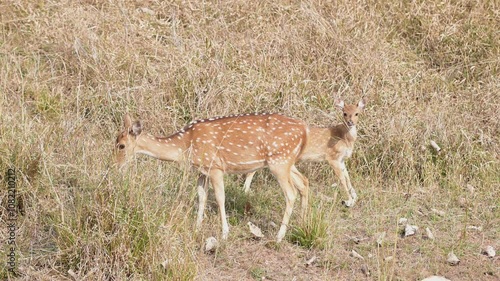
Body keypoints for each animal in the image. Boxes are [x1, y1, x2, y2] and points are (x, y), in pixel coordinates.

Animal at [115, 111, 308, 241]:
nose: (116, 166)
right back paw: (301, 225)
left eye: (121, 145)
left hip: (279, 162)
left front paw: (224, 233)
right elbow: (201, 197)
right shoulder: (202, 171)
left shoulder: (215, 166)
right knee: (304, 183)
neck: (185, 146)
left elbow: (220, 198)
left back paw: (279, 236)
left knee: (291, 193)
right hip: (287, 162)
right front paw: (197, 227)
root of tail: (304, 130)